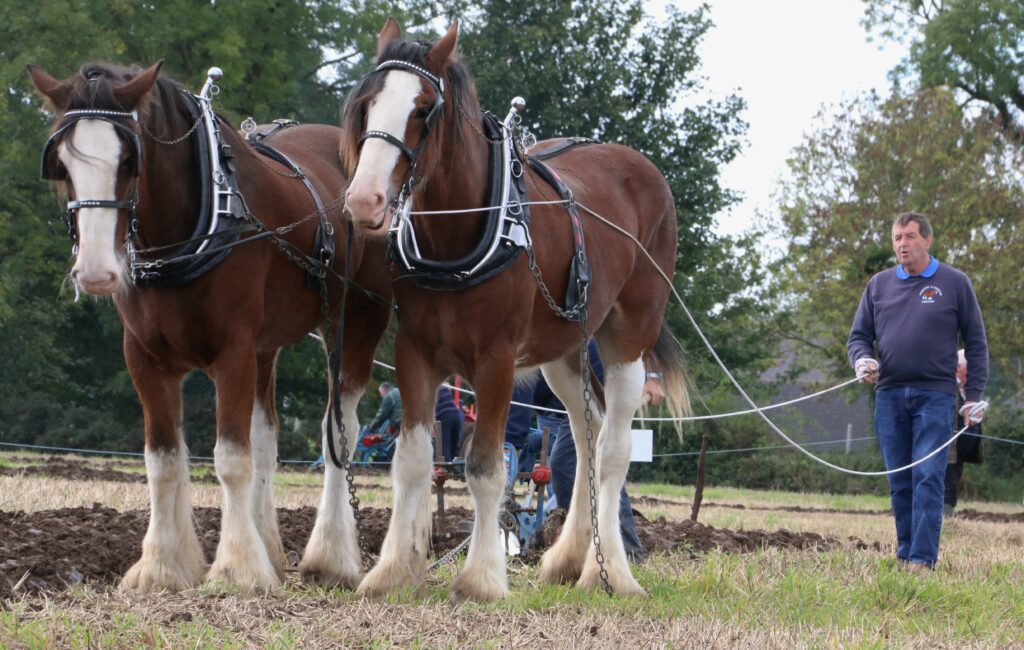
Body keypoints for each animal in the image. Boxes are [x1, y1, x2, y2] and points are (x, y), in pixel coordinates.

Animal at [28, 61, 392, 592]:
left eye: (129, 160)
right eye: (61, 164)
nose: (96, 272)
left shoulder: (232, 353)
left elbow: (231, 459)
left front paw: (238, 569)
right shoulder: (144, 357)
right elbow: (163, 460)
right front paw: (163, 566)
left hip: (354, 324)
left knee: (337, 434)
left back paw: (330, 558)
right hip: (267, 347)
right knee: (267, 437)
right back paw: (271, 549)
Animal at [340, 19, 689, 601]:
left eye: (423, 110)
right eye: (366, 105)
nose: (364, 201)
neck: (459, 234)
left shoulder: (496, 360)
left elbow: (485, 467)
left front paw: (481, 579)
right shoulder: (414, 352)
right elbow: (411, 461)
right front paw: (391, 572)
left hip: (629, 337)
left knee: (613, 448)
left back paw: (610, 573)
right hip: (563, 351)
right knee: (586, 436)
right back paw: (569, 558)